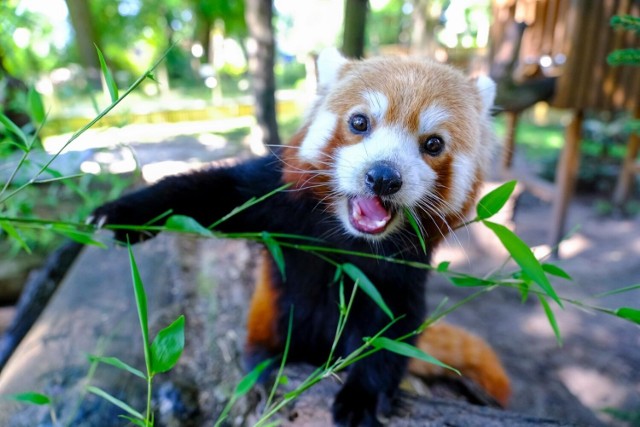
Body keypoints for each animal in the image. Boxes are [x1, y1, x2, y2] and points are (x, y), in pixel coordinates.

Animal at [91, 49, 510, 424]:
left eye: (433, 143)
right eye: (360, 122)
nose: (383, 177)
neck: (347, 236)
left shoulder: (401, 268)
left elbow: (391, 328)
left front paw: (364, 396)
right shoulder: (279, 204)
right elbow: (209, 193)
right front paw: (125, 213)